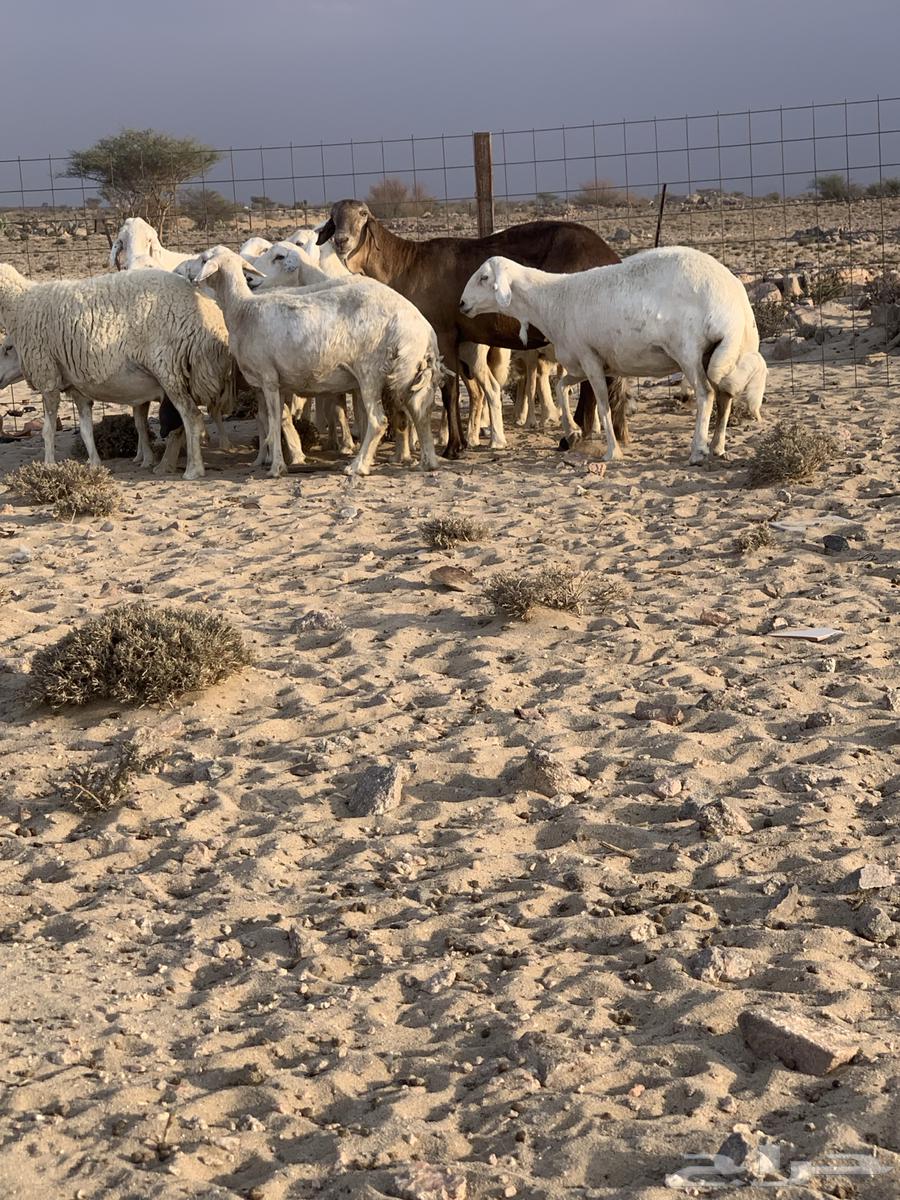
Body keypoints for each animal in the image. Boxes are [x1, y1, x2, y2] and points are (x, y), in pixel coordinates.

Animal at [0, 264, 234, 479]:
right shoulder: (77, 388)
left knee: (191, 416)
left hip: (169, 371)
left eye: (8, 348)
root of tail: (213, 320)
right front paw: (94, 464)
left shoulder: (47, 375)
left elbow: (48, 431)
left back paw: (193, 469)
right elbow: (86, 430)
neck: (20, 302)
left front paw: (48, 467)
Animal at [178, 245, 442, 478]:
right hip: (408, 370)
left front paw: (276, 468)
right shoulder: (270, 384)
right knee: (420, 410)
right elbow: (274, 420)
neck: (243, 310)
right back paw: (428, 462)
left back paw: (358, 466)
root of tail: (424, 328)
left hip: (370, 371)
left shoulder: (268, 377)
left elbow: (274, 422)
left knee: (378, 421)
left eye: (204, 259)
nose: (186, 272)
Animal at [317, 199, 629, 458]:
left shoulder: (443, 333)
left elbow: (450, 390)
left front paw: (454, 447)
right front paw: (460, 441)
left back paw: (582, 434)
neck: (406, 265)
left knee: (594, 384)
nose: (342, 241)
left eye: (362, 215)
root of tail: (610, 255)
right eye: (333, 217)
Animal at [459, 246, 767, 464]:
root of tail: (734, 304)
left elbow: (603, 405)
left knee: (706, 393)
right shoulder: (583, 363)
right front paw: (572, 431)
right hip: (717, 352)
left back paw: (698, 450)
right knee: (725, 396)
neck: (552, 301)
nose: (461, 304)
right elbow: (561, 388)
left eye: (484, 278)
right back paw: (717, 446)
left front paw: (611, 451)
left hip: (688, 351)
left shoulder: (590, 359)